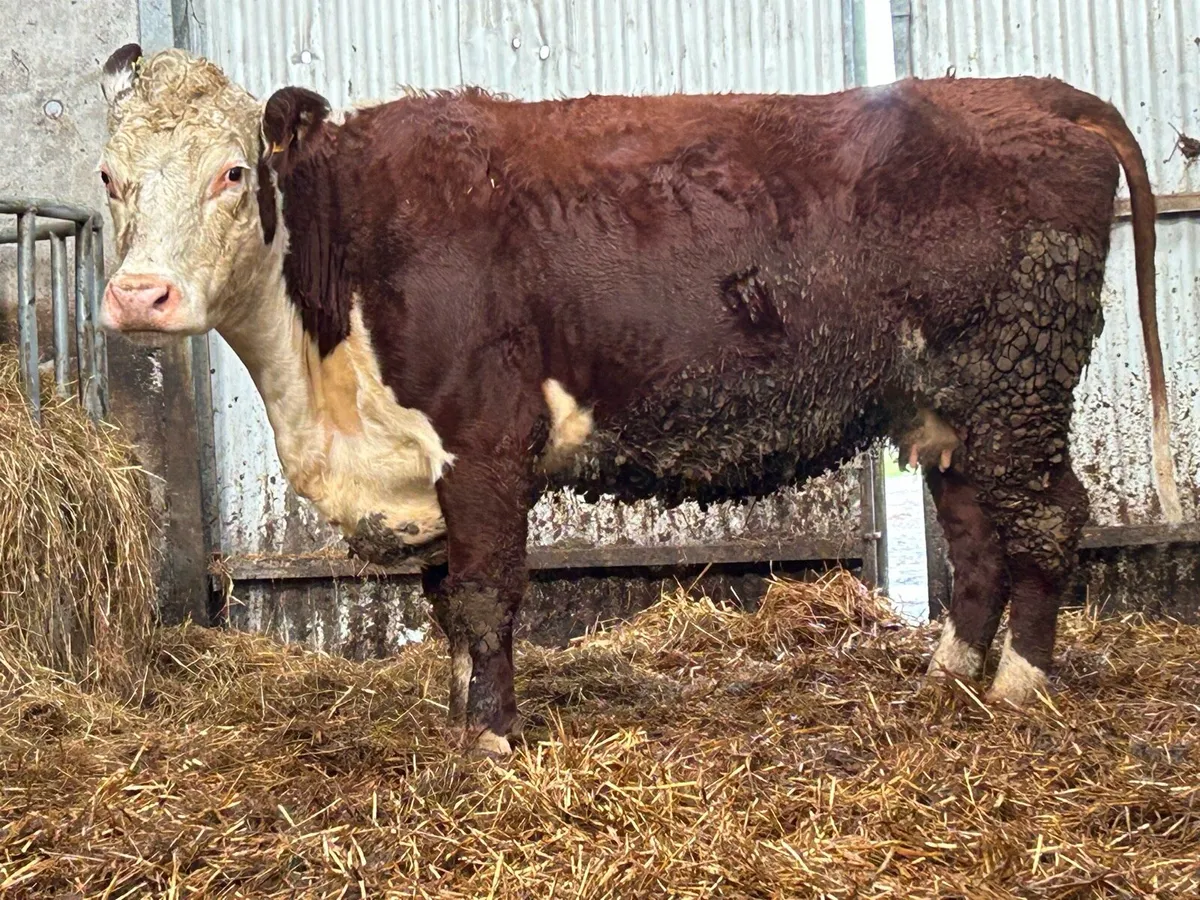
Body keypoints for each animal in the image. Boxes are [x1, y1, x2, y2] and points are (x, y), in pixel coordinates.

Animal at [96, 44, 1181, 755]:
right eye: (109, 176)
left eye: (234, 172)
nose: (140, 295)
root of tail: (1034, 93)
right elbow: (446, 604)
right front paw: (460, 718)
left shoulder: (486, 440)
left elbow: (485, 597)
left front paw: (490, 743)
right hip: (949, 403)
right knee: (976, 531)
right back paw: (951, 671)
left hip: (1018, 379)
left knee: (1048, 517)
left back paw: (1021, 684)